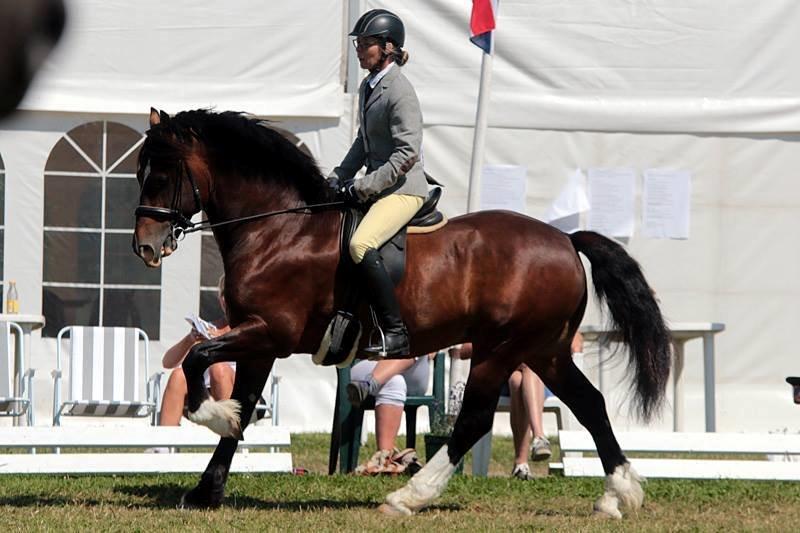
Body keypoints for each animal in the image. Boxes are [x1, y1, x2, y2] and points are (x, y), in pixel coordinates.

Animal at [134, 108, 672, 520]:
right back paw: (618, 496)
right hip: (545, 349)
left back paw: (408, 497)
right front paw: (207, 487)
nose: (144, 248)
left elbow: (198, 359)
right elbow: (242, 402)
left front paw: (211, 415)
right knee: (590, 404)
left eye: (160, 176)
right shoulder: (258, 341)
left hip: (500, 348)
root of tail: (564, 238)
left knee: (473, 421)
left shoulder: (268, 333)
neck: (280, 229)